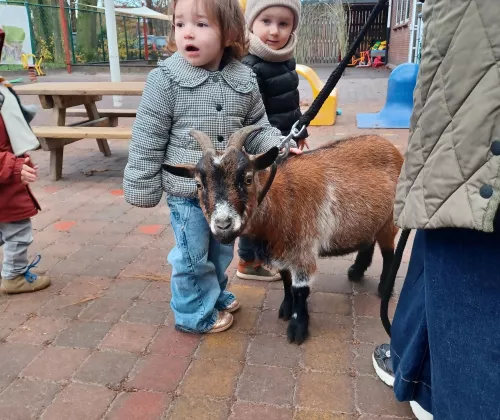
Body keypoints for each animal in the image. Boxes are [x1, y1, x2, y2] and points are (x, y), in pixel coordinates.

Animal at [163, 126, 404, 344]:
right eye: (198, 184)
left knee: (389, 253)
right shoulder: (281, 250)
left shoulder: (303, 250)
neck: (282, 198)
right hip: (370, 219)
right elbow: (287, 282)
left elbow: (300, 290)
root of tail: (392, 148)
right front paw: (286, 310)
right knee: (368, 240)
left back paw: (384, 289)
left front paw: (298, 328)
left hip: (390, 220)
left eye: (248, 178)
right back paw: (356, 271)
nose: (223, 225)